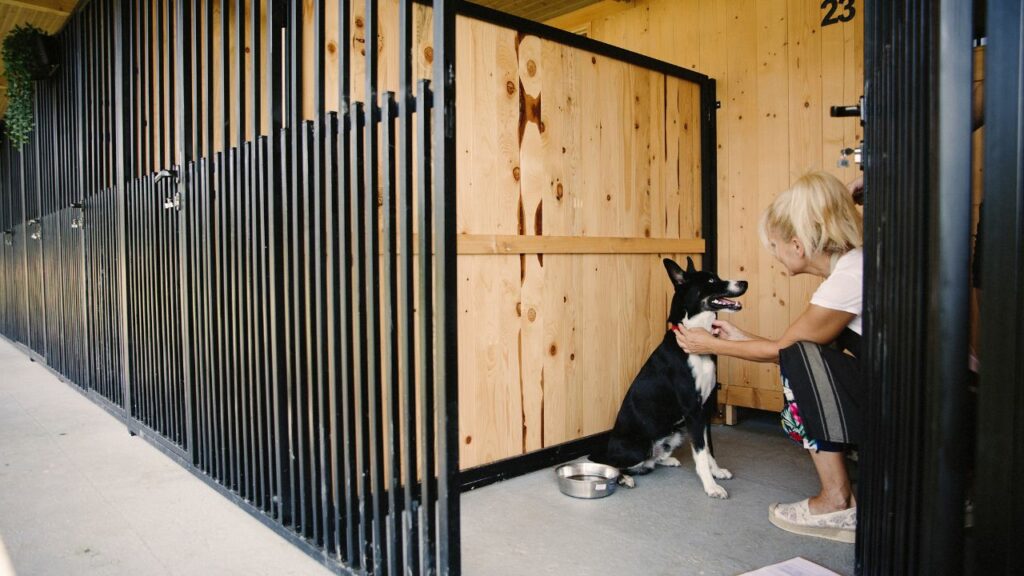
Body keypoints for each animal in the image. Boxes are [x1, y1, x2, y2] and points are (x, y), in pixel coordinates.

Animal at [593, 258, 745, 496]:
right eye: (711, 281)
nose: (744, 283)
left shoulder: (705, 409)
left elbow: (709, 448)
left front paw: (717, 472)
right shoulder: (693, 411)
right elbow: (701, 454)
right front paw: (711, 486)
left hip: (675, 432)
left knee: (651, 461)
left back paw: (666, 460)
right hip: (639, 446)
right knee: (613, 464)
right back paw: (625, 478)